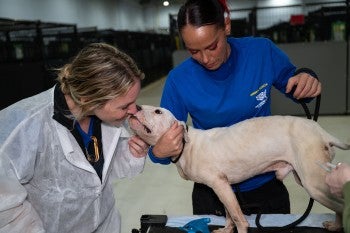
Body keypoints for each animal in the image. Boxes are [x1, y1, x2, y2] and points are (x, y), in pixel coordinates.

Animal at [129, 105, 350, 233]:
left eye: (158, 111)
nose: (136, 106)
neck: (186, 145)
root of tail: (322, 132)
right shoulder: (223, 186)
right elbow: (228, 215)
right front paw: (226, 229)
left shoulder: (220, 185)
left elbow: (238, 218)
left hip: (314, 184)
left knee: (340, 205)